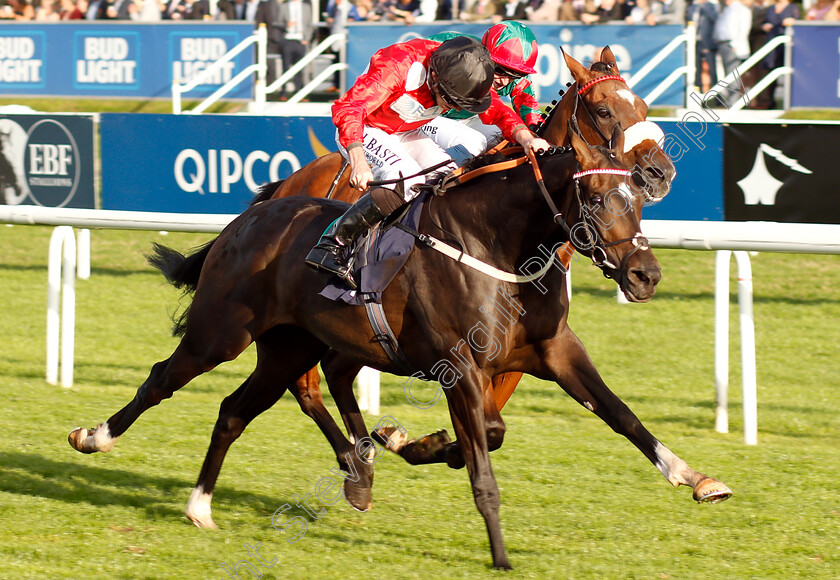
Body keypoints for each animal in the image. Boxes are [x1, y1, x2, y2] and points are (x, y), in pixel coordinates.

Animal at [70, 129, 728, 568]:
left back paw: (205, 504)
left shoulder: (552, 351)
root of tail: (250, 217)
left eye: (637, 200)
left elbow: (617, 415)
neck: (496, 246)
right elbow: (485, 464)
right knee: (163, 377)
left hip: (289, 346)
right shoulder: (460, 366)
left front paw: (692, 475)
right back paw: (95, 436)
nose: (645, 275)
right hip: (222, 332)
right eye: (595, 201)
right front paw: (499, 553)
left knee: (238, 409)